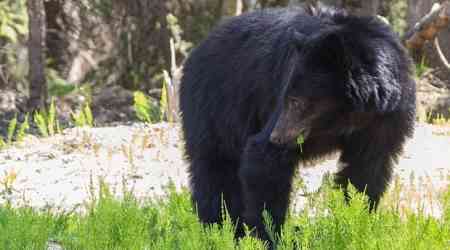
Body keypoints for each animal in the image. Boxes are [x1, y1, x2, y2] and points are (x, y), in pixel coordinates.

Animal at [178, 4, 414, 242]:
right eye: (287, 98)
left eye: (296, 101)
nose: (277, 136)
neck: (349, 117)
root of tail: (197, 50)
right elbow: (263, 159)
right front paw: (269, 236)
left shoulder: (387, 119)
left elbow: (366, 171)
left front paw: (355, 222)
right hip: (214, 107)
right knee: (214, 170)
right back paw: (216, 228)